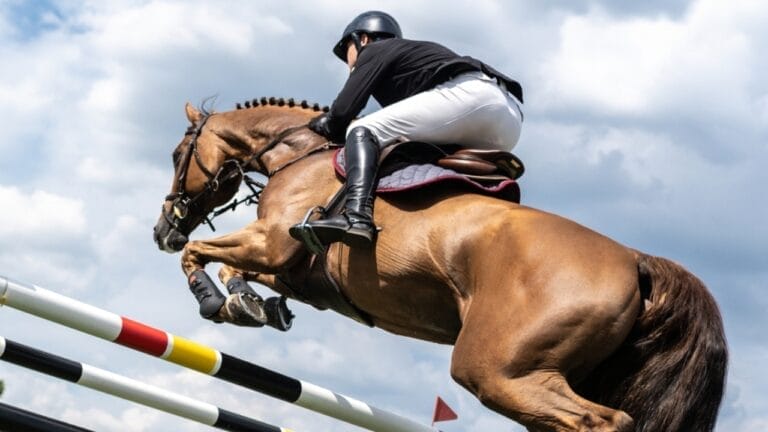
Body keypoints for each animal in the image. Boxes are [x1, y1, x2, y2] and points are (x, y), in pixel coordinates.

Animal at [152, 97, 727, 432]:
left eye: (178, 154)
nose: (163, 230)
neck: (297, 154)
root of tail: (637, 261)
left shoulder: (271, 243)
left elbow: (200, 255)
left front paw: (214, 301)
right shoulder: (293, 270)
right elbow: (240, 271)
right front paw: (249, 304)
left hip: (499, 371)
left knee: (599, 423)